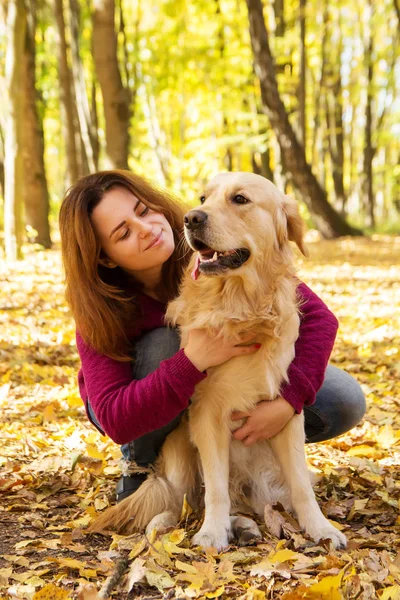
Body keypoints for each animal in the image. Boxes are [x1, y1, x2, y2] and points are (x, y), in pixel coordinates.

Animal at [93, 171, 346, 552]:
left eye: (239, 199)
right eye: (203, 197)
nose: (191, 218)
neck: (240, 304)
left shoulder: (287, 412)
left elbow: (301, 484)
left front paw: (321, 527)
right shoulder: (207, 413)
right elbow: (214, 487)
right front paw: (212, 532)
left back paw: (246, 525)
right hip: (179, 451)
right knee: (177, 498)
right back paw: (167, 525)